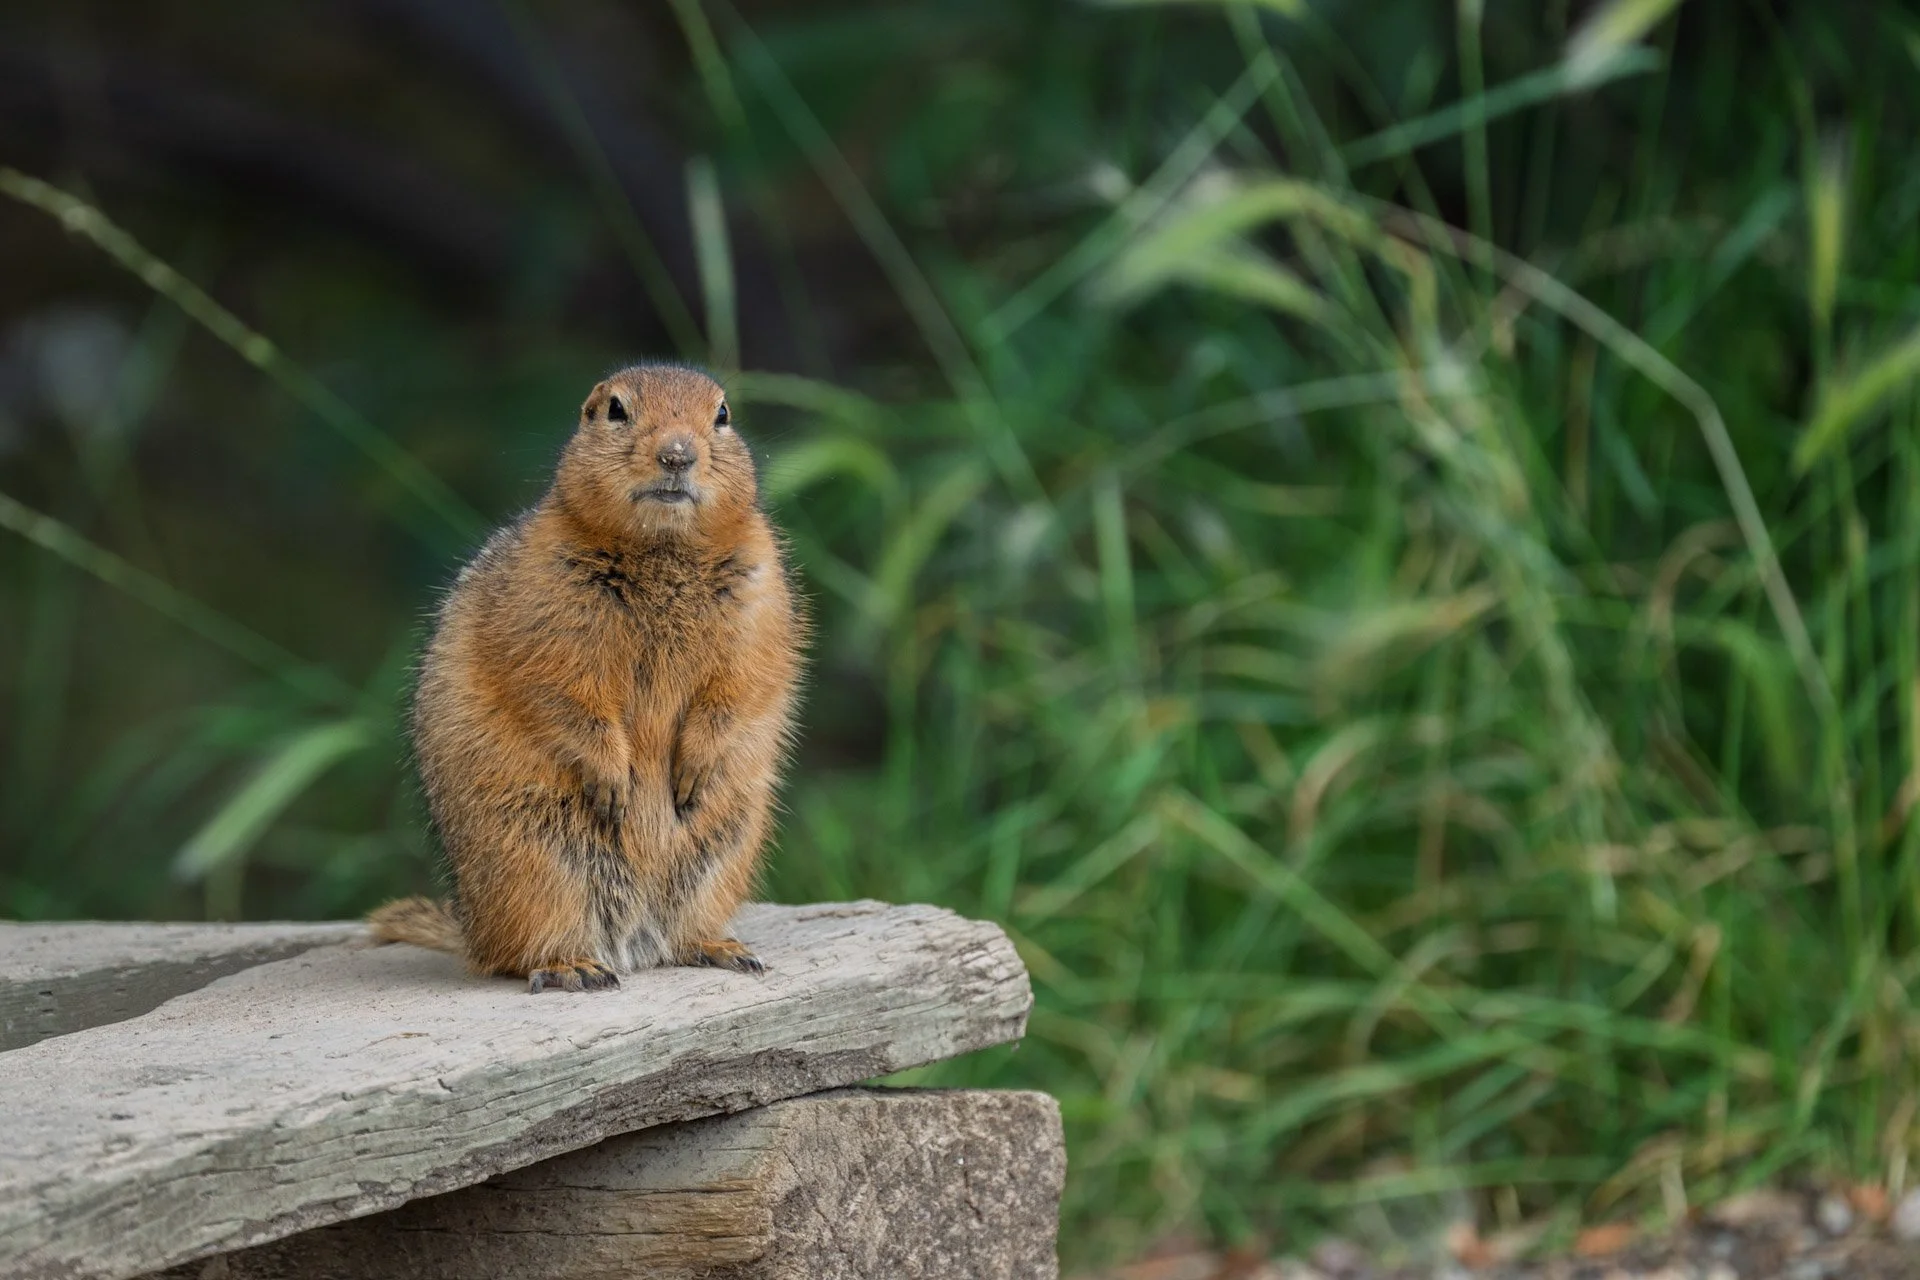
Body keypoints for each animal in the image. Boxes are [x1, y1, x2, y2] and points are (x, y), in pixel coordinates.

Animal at [368, 363, 804, 993]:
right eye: (616, 409)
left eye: (722, 414)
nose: (677, 454)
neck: (661, 547)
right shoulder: (547, 611)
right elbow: (563, 694)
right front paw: (614, 777)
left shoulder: (760, 604)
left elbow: (742, 686)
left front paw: (695, 766)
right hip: (537, 862)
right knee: (520, 952)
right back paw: (571, 965)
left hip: (722, 850)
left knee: (680, 931)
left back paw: (720, 946)